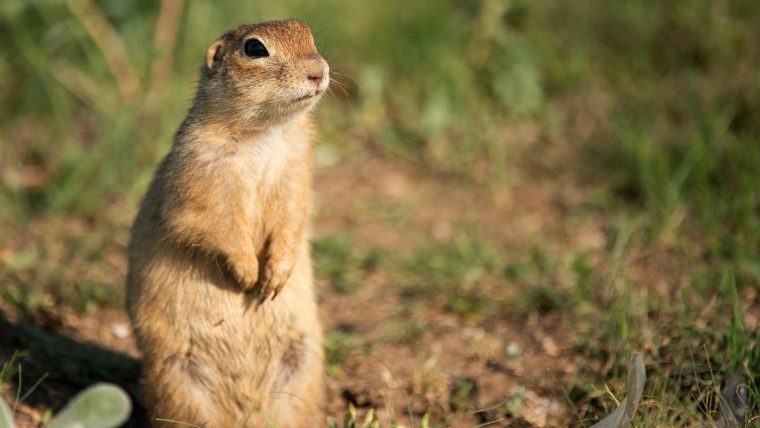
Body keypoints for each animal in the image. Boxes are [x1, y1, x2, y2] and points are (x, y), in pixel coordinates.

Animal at [127, 20, 330, 428]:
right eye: (255, 49)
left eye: (309, 34)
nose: (319, 71)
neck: (265, 134)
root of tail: (246, 415)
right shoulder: (200, 170)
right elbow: (211, 223)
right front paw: (248, 277)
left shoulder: (297, 168)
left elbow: (293, 218)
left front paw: (274, 279)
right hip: (176, 380)